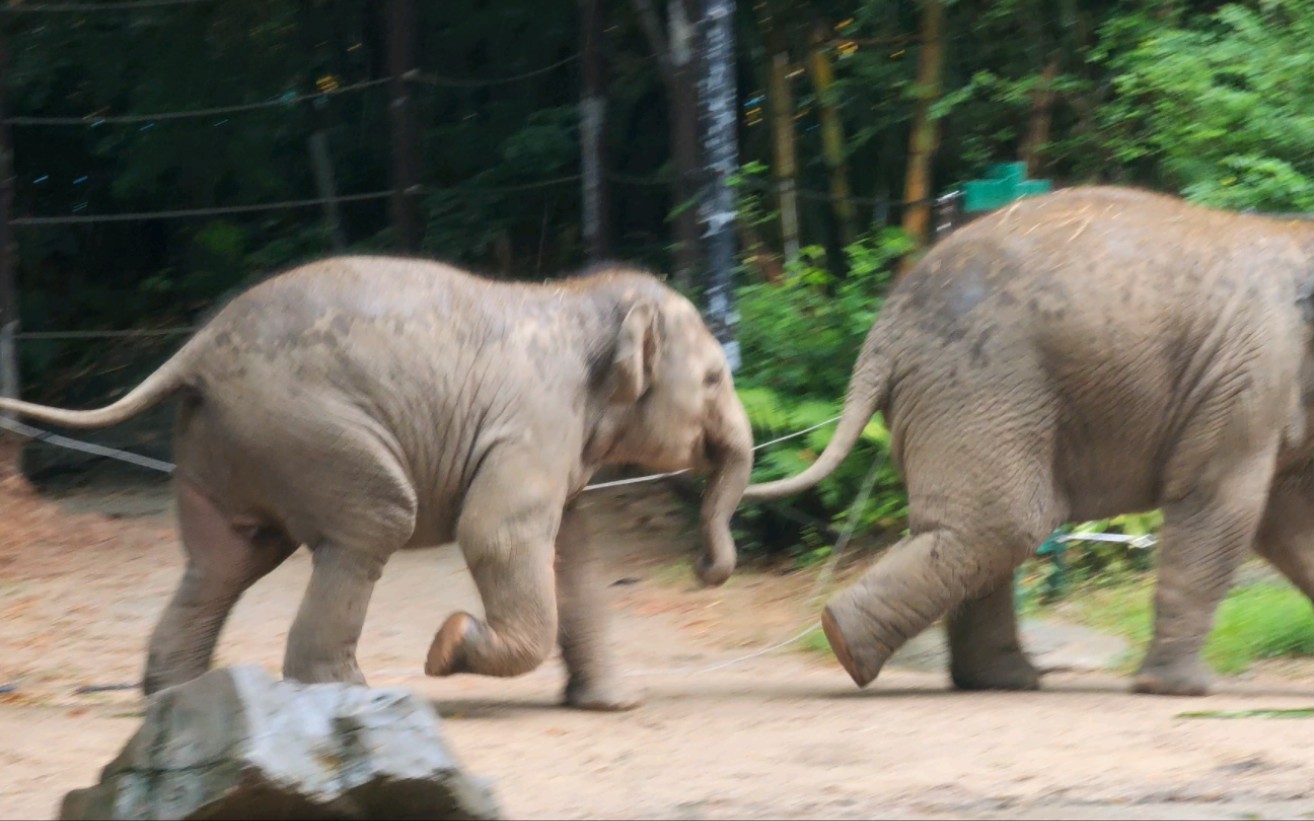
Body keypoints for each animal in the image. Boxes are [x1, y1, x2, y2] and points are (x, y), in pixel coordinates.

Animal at [0, 256, 756, 709]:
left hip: (223, 440)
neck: (577, 297)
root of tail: (196, 351)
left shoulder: (558, 445)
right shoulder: (534, 423)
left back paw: (175, 697)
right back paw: (348, 694)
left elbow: (574, 551)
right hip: (302, 426)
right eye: (715, 378)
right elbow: (497, 532)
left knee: (227, 557)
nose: (704, 569)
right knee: (373, 523)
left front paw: (611, 705)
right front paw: (447, 646)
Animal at [746, 187, 1314, 698]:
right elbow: (1222, 503)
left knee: (980, 530)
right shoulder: (1250, 376)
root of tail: (883, 333)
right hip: (979, 384)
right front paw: (1179, 690)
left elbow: (1286, 518)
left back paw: (993, 680)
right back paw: (847, 643)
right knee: (1003, 526)